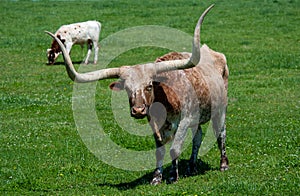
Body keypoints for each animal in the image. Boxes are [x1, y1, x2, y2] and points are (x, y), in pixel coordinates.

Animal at [45, 4, 230, 185]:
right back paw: (192, 166)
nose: (138, 111)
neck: (166, 98)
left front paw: (172, 176)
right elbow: (160, 150)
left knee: (220, 134)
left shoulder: (184, 120)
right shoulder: (154, 123)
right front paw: (156, 177)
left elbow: (174, 148)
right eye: (127, 88)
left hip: (220, 110)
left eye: (149, 86)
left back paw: (223, 165)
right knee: (198, 137)